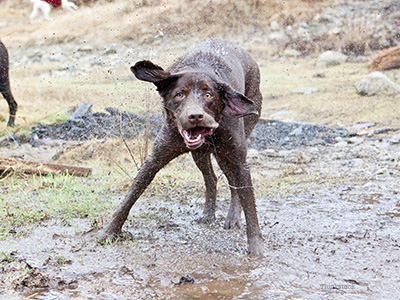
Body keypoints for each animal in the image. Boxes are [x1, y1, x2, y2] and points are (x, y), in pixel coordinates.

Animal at [98, 38, 264, 255]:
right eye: (179, 94)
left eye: (209, 95)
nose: (195, 116)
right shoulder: (156, 157)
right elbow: (130, 196)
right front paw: (109, 231)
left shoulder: (238, 160)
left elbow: (249, 203)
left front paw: (256, 245)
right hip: (200, 155)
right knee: (211, 179)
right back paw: (208, 213)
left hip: (227, 153)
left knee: (232, 184)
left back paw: (233, 217)